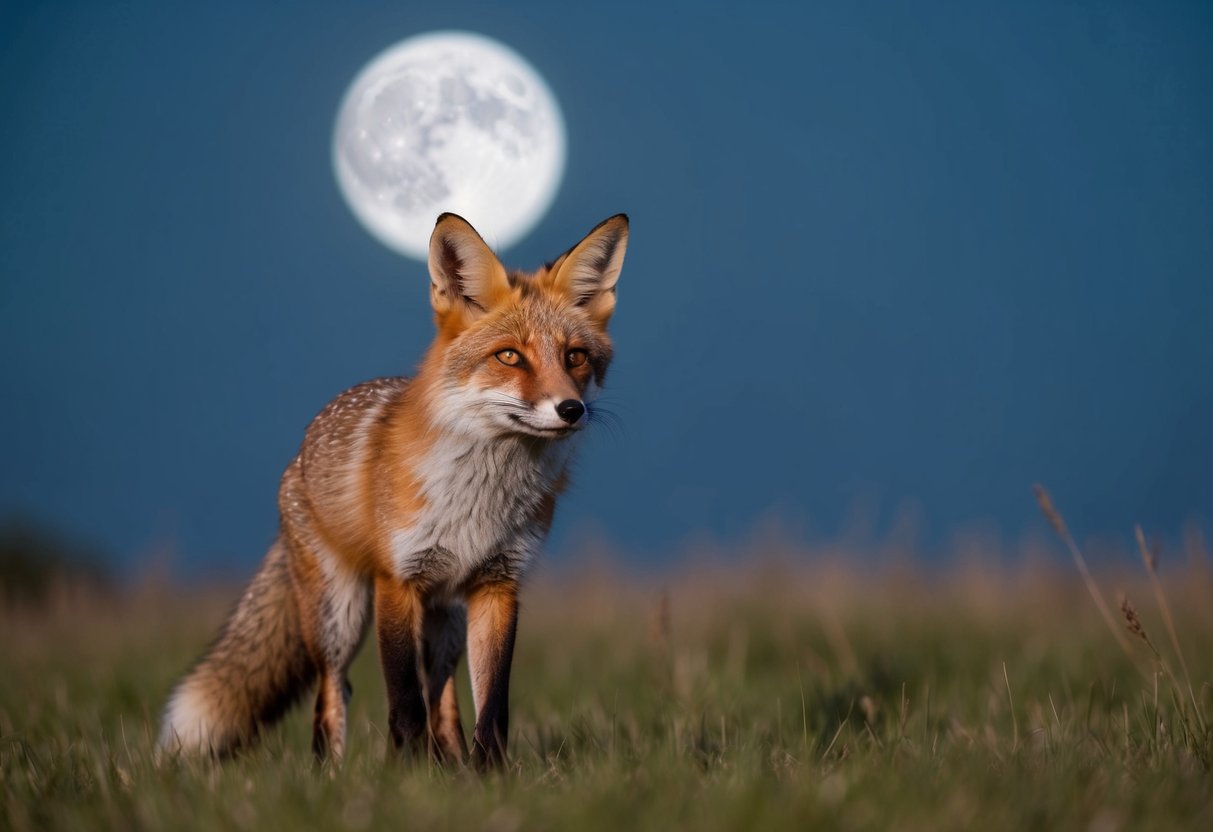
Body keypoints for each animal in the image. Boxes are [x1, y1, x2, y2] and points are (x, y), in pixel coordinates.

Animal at [159, 212, 629, 770]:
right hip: (339, 614)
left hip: (446, 619)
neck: (480, 500)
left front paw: (489, 774)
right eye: (510, 356)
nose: (571, 410)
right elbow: (404, 702)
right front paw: (407, 775)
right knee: (334, 693)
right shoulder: (397, 581)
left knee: (442, 695)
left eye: (575, 356)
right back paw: (330, 773)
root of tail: (299, 455)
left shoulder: (499, 584)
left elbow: (491, 706)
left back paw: (452, 765)